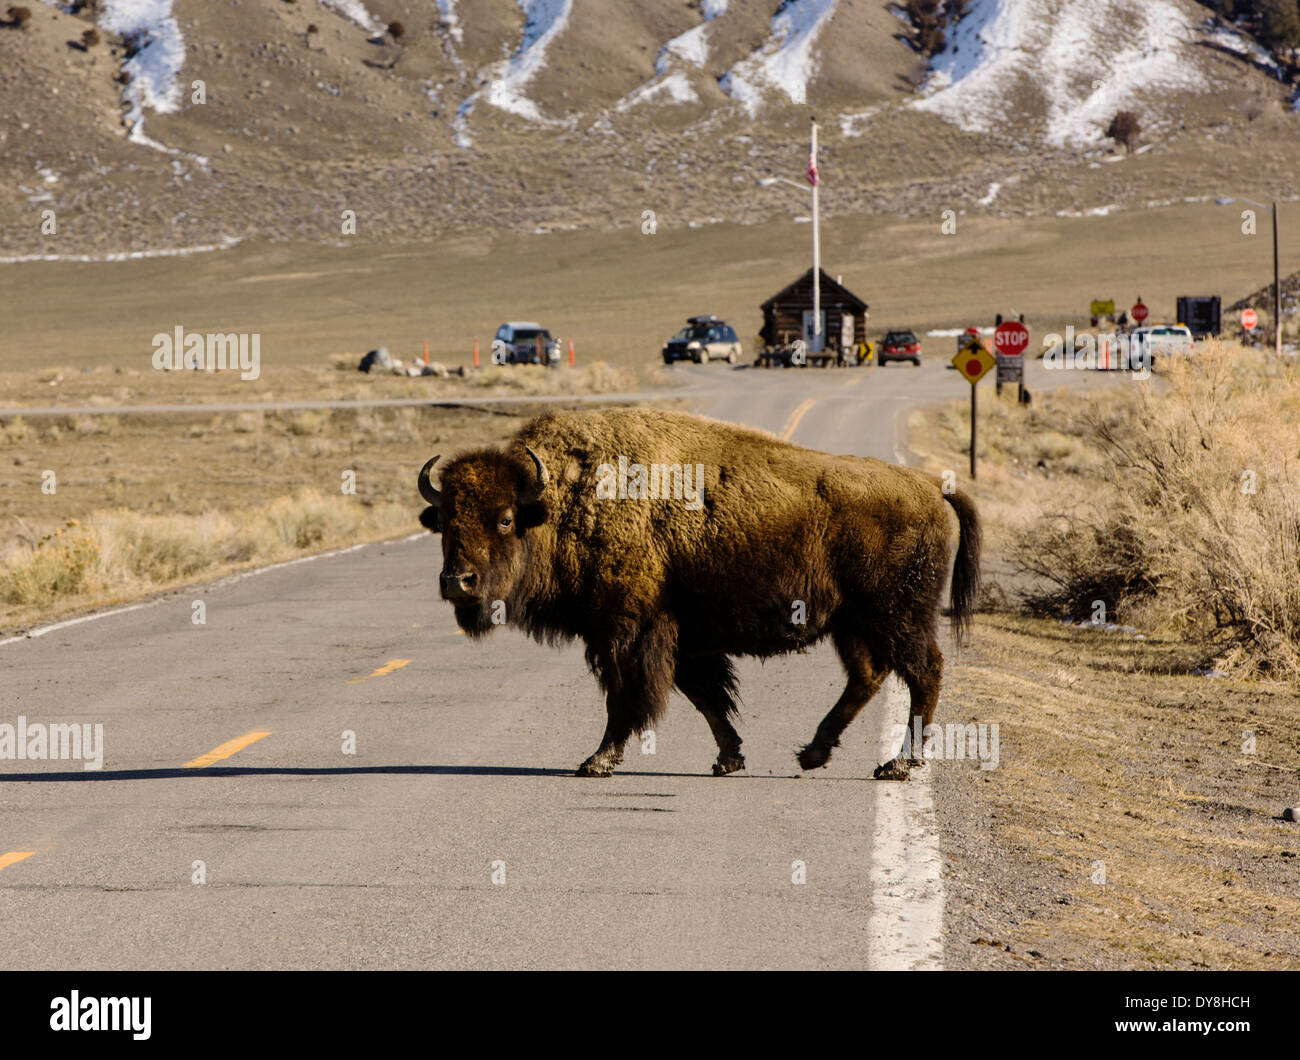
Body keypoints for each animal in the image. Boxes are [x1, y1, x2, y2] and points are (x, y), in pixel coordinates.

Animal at [417, 408, 980, 779]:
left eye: (504, 519)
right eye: (444, 521)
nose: (457, 582)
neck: (561, 502)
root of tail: (930, 485)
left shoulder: (626, 632)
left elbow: (626, 699)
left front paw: (596, 761)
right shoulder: (681, 637)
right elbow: (704, 696)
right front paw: (728, 758)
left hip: (897, 616)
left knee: (924, 672)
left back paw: (897, 765)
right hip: (854, 624)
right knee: (869, 676)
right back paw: (813, 754)